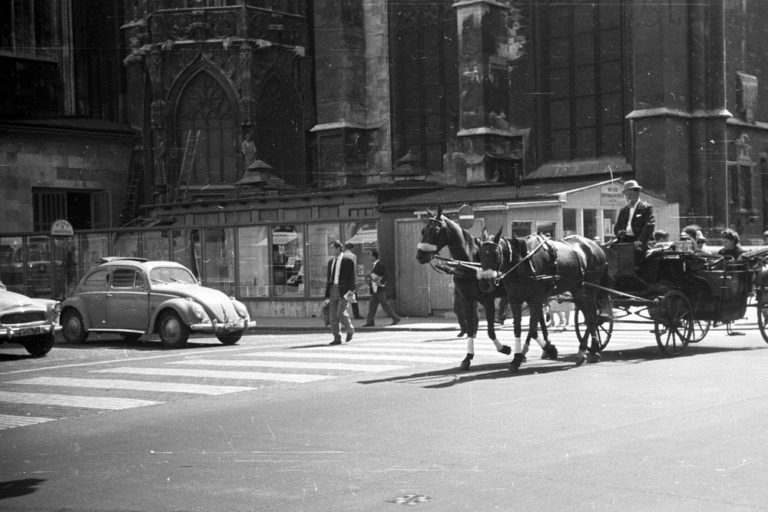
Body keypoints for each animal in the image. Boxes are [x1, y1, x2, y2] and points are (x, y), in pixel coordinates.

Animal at [414, 208, 510, 368]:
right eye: (423, 230)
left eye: (435, 230)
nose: (420, 255)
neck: (470, 263)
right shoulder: (467, 299)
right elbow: (470, 328)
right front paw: (467, 357)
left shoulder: (487, 299)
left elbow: (490, 330)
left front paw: (504, 348)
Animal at [476, 228, 608, 368]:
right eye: (480, 253)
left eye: (496, 254)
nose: (485, 284)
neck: (523, 264)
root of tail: (596, 246)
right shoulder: (515, 300)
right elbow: (518, 329)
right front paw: (518, 357)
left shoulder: (536, 300)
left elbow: (533, 329)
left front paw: (542, 351)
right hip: (577, 290)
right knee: (590, 317)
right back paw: (591, 350)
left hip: (589, 290)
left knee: (591, 317)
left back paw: (587, 350)